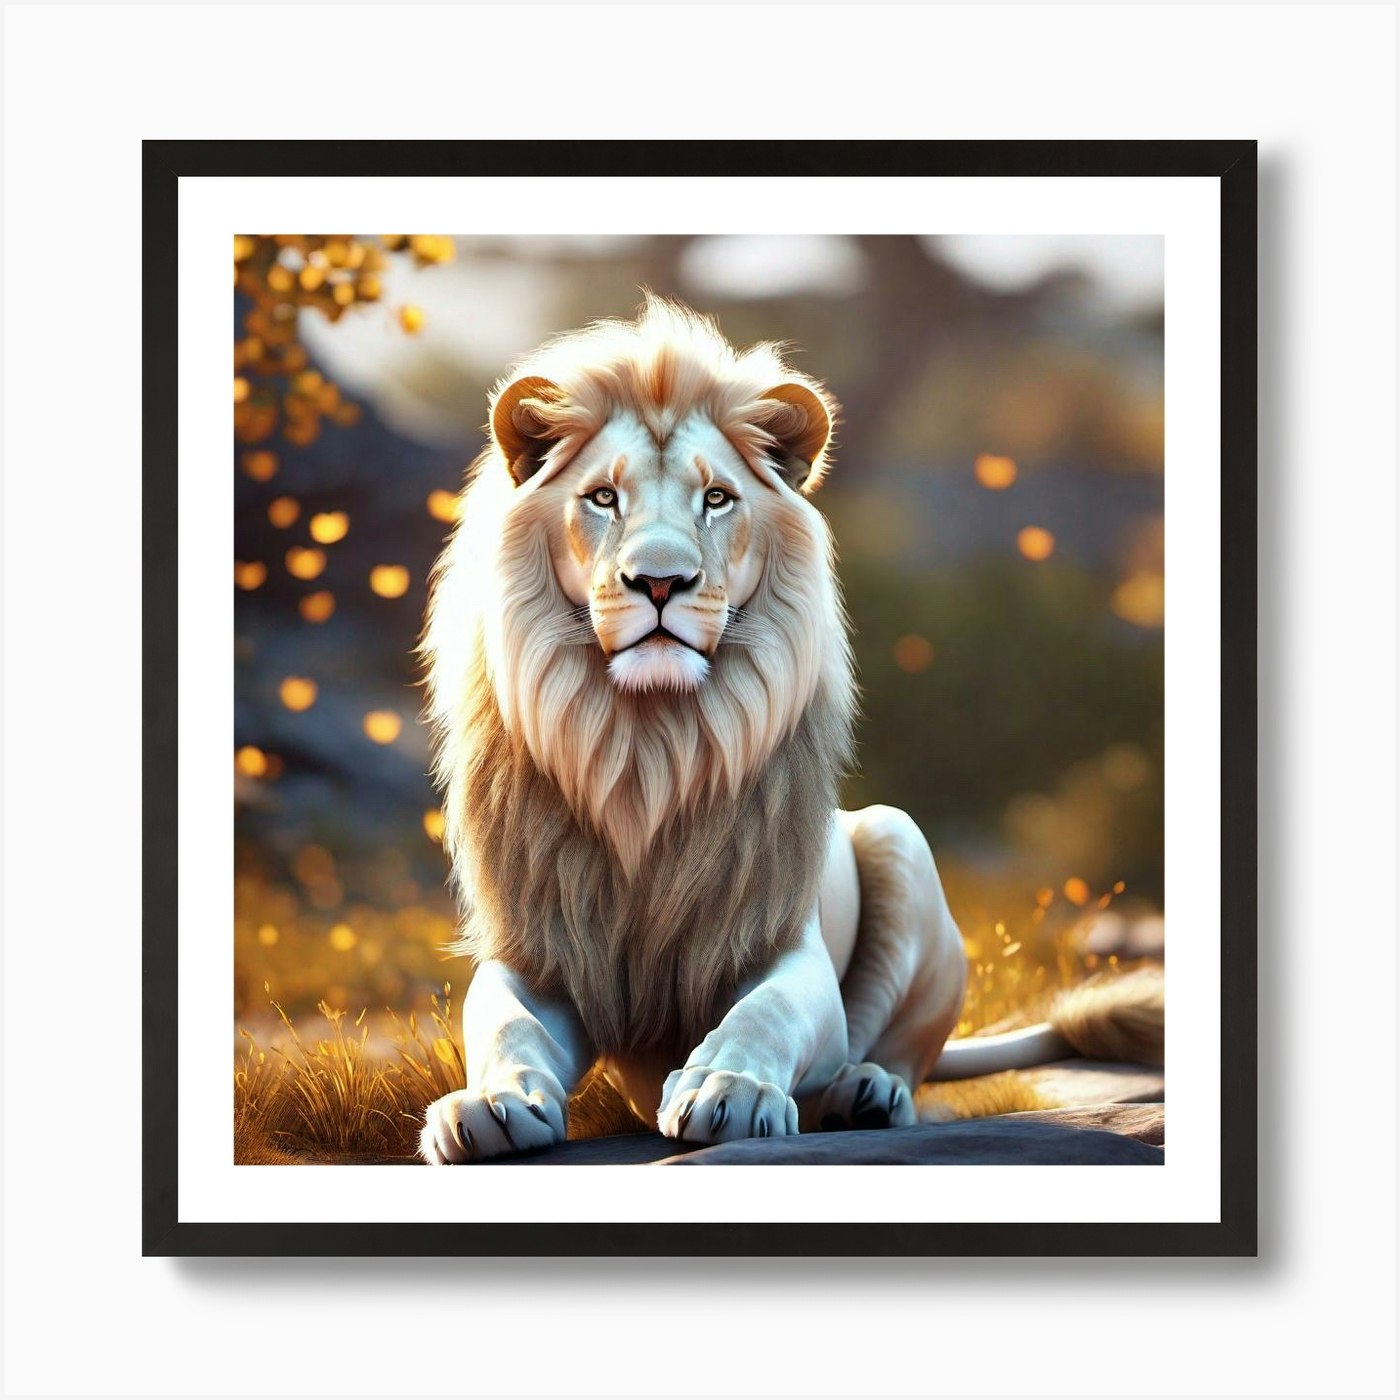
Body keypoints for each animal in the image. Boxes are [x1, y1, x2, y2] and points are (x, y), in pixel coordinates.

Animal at [417, 297, 1161, 1163]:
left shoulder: (779, 941)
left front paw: (726, 1090)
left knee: (897, 1051)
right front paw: (489, 1104)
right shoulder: (538, 951)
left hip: (899, 841)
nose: (661, 582)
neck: (648, 749)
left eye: (717, 499)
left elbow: (765, 1012)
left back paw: (863, 1093)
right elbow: (506, 1022)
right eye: (603, 498)